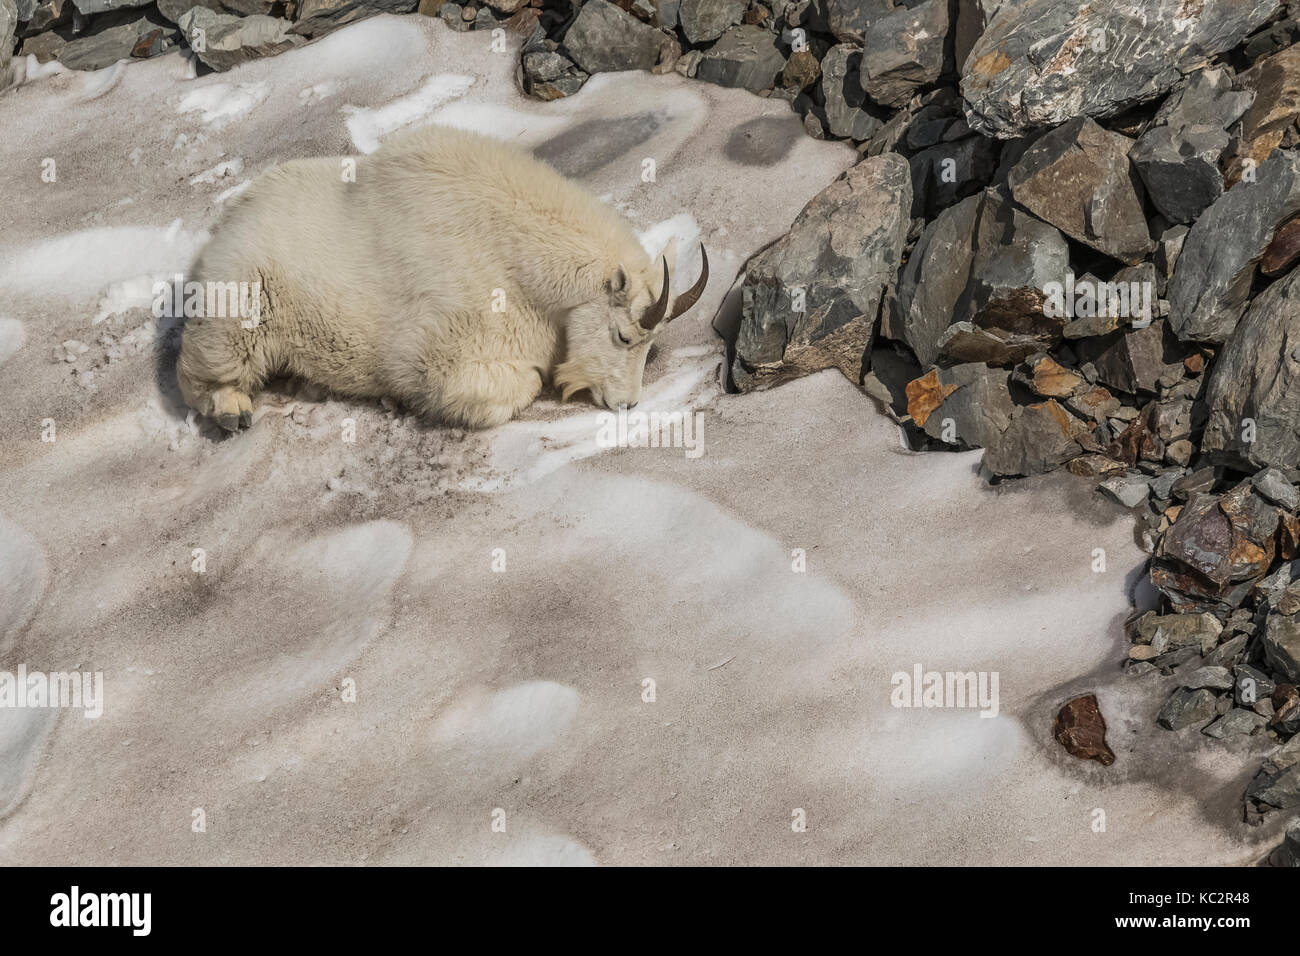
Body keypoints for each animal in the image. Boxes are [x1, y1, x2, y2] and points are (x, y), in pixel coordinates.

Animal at [176, 126, 707, 429]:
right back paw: (231, 410)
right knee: (199, 370)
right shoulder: (440, 349)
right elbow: (519, 383)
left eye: (650, 348)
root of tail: (227, 221)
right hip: (239, 301)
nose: (627, 405)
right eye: (623, 336)